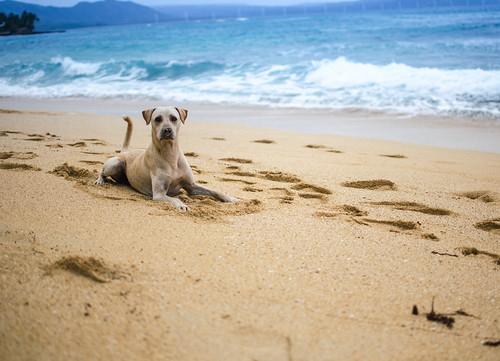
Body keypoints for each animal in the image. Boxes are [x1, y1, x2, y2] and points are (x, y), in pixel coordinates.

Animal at [97, 105, 238, 210]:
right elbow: (175, 198)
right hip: (115, 164)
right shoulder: (159, 194)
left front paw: (231, 198)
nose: (167, 130)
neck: (170, 153)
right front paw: (181, 204)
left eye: (174, 118)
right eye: (157, 119)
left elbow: (215, 191)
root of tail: (125, 152)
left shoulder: (191, 186)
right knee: (103, 171)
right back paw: (100, 180)